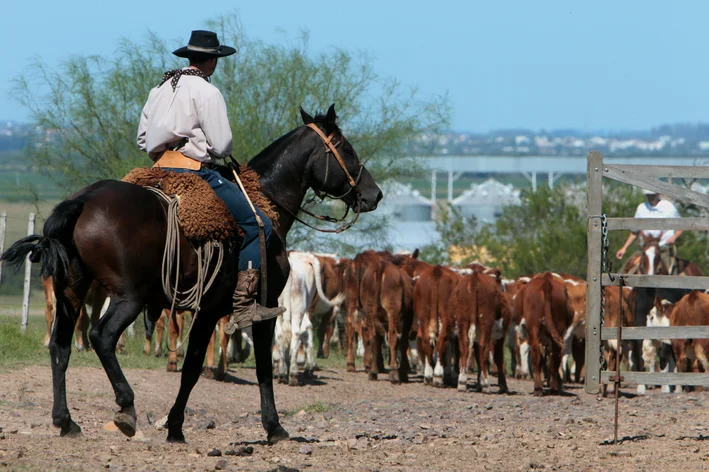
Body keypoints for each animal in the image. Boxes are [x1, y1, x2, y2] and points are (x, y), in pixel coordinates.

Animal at [0, 105, 382, 444]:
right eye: (346, 148)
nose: (374, 194)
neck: (266, 204)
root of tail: (82, 201)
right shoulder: (258, 308)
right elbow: (247, 366)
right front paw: (273, 428)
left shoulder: (207, 311)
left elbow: (191, 366)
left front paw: (175, 427)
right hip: (128, 297)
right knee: (101, 336)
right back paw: (126, 408)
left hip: (72, 290)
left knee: (60, 345)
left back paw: (66, 421)